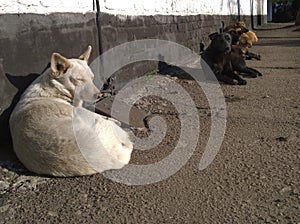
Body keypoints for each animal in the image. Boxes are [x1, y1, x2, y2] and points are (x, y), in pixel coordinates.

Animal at [8, 46, 133, 177]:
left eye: (92, 78)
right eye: (79, 80)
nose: (99, 95)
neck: (55, 88)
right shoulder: (81, 111)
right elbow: (98, 115)